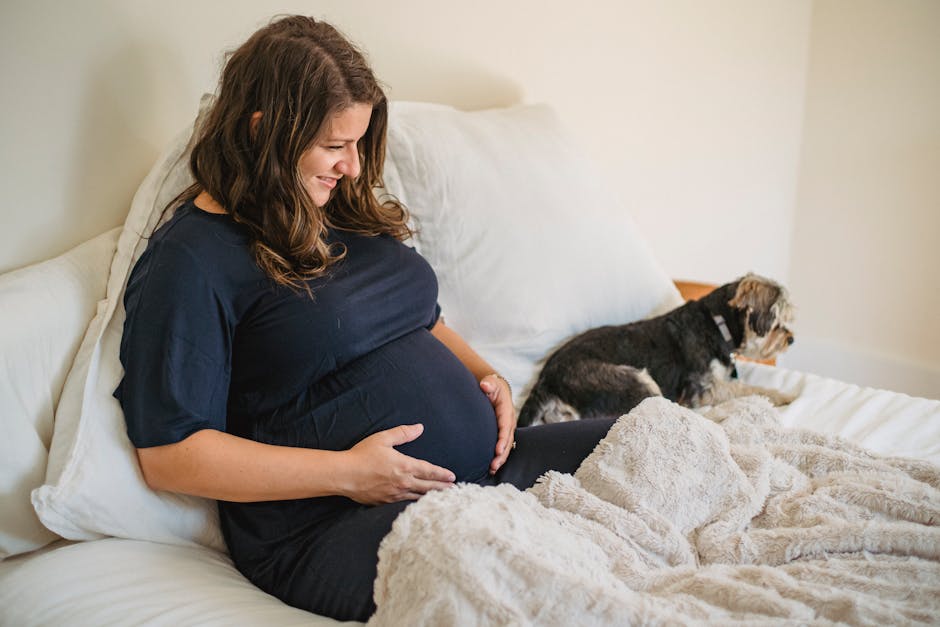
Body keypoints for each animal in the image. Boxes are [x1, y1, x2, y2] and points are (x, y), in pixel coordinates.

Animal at [516, 274, 796, 426]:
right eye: (777, 323)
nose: (791, 339)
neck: (717, 324)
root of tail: (546, 379)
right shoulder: (703, 387)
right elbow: (746, 388)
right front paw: (783, 394)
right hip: (632, 381)